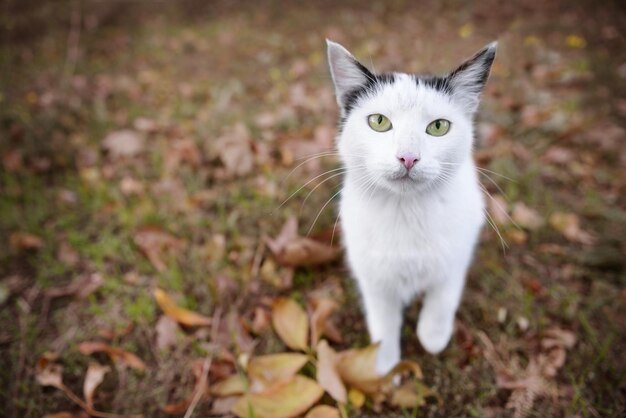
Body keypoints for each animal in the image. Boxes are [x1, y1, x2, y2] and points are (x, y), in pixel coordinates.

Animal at [324, 38, 494, 372]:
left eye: (439, 127)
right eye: (378, 122)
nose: (408, 157)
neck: (405, 211)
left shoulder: (457, 254)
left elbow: (443, 297)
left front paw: (433, 337)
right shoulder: (372, 275)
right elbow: (383, 319)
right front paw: (385, 362)